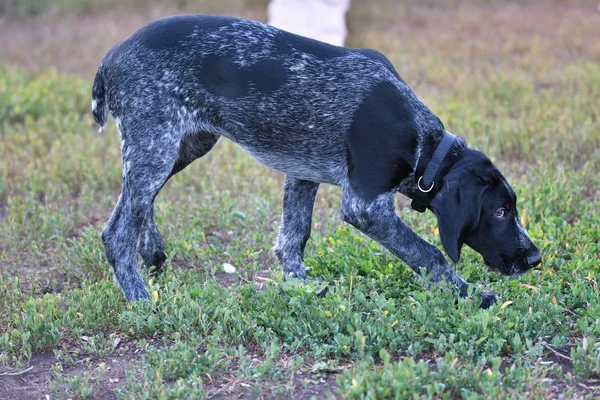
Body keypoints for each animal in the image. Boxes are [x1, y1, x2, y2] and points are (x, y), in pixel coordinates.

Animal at [92, 14, 544, 308]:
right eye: (501, 211)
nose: (535, 258)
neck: (421, 141)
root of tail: (111, 55)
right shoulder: (364, 206)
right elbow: (430, 254)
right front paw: (471, 294)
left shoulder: (302, 173)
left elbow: (294, 239)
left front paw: (302, 288)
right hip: (158, 144)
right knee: (117, 230)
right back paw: (140, 299)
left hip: (182, 145)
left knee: (136, 201)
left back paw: (152, 251)